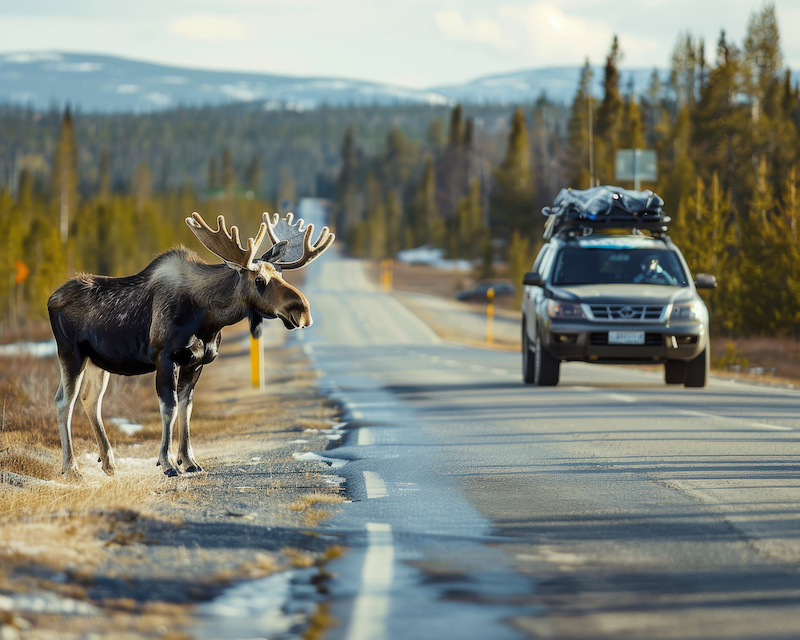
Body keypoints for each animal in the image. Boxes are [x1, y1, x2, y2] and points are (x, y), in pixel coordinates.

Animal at [47, 212, 334, 478]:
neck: (208, 321)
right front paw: (168, 463)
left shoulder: (196, 362)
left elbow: (187, 409)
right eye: (259, 280)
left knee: (90, 400)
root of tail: (51, 299)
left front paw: (189, 461)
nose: (302, 311)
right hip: (70, 352)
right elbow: (170, 407)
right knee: (64, 401)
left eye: (282, 273)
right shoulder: (166, 357)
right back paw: (71, 468)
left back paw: (108, 463)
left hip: (99, 361)